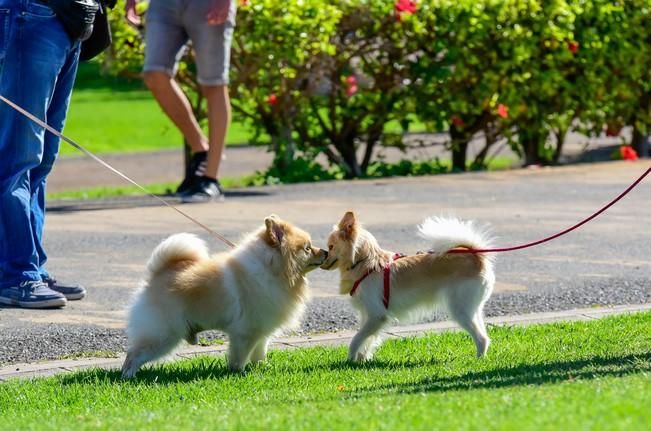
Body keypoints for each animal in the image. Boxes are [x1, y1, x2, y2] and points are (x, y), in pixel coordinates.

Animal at [120, 216, 328, 378]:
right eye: (307, 248)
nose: (325, 252)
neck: (272, 270)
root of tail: (157, 274)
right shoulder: (245, 332)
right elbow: (239, 357)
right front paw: (237, 373)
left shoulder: (261, 330)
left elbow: (260, 352)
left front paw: (263, 367)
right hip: (163, 334)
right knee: (133, 354)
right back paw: (128, 377)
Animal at [320, 213, 494, 364]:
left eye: (331, 246)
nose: (323, 259)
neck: (366, 263)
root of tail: (476, 256)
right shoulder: (368, 315)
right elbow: (367, 339)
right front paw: (361, 360)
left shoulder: (377, 316)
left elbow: (356, 339)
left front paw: (350, 360)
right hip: (471, 308)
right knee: (484, 334)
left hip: (460, 309)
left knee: (480, 338)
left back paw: (478, 360)